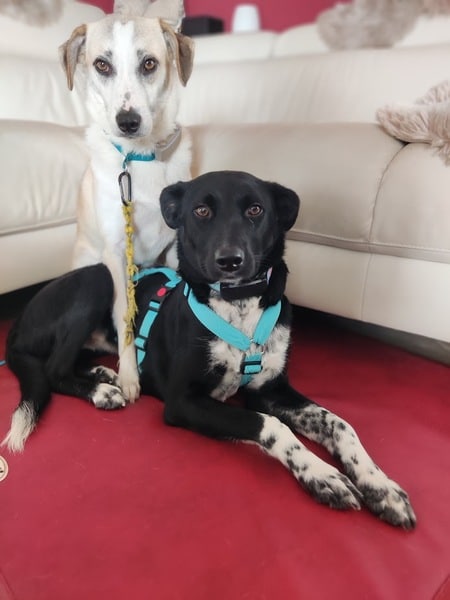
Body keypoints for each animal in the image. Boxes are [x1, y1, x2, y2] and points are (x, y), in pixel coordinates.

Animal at [2, 171, 416, 529]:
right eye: (201, 211)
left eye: (256, 210)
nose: (229, 260)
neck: (239, 304)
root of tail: (17, 323)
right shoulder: (184, 402)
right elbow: (271, 425)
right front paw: (321, 473)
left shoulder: (271, 389)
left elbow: (339, 423)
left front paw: (380, 485)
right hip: (99, 280)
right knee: (54, 368)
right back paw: (101, 391)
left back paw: (106, 373)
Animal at [59, 14, 194, 403]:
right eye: (101, 65)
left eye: (149, 63)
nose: (128, 121)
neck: (141, 158)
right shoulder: (116, 252)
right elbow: (124, 317)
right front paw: (131, 376)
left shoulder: (174, 248)